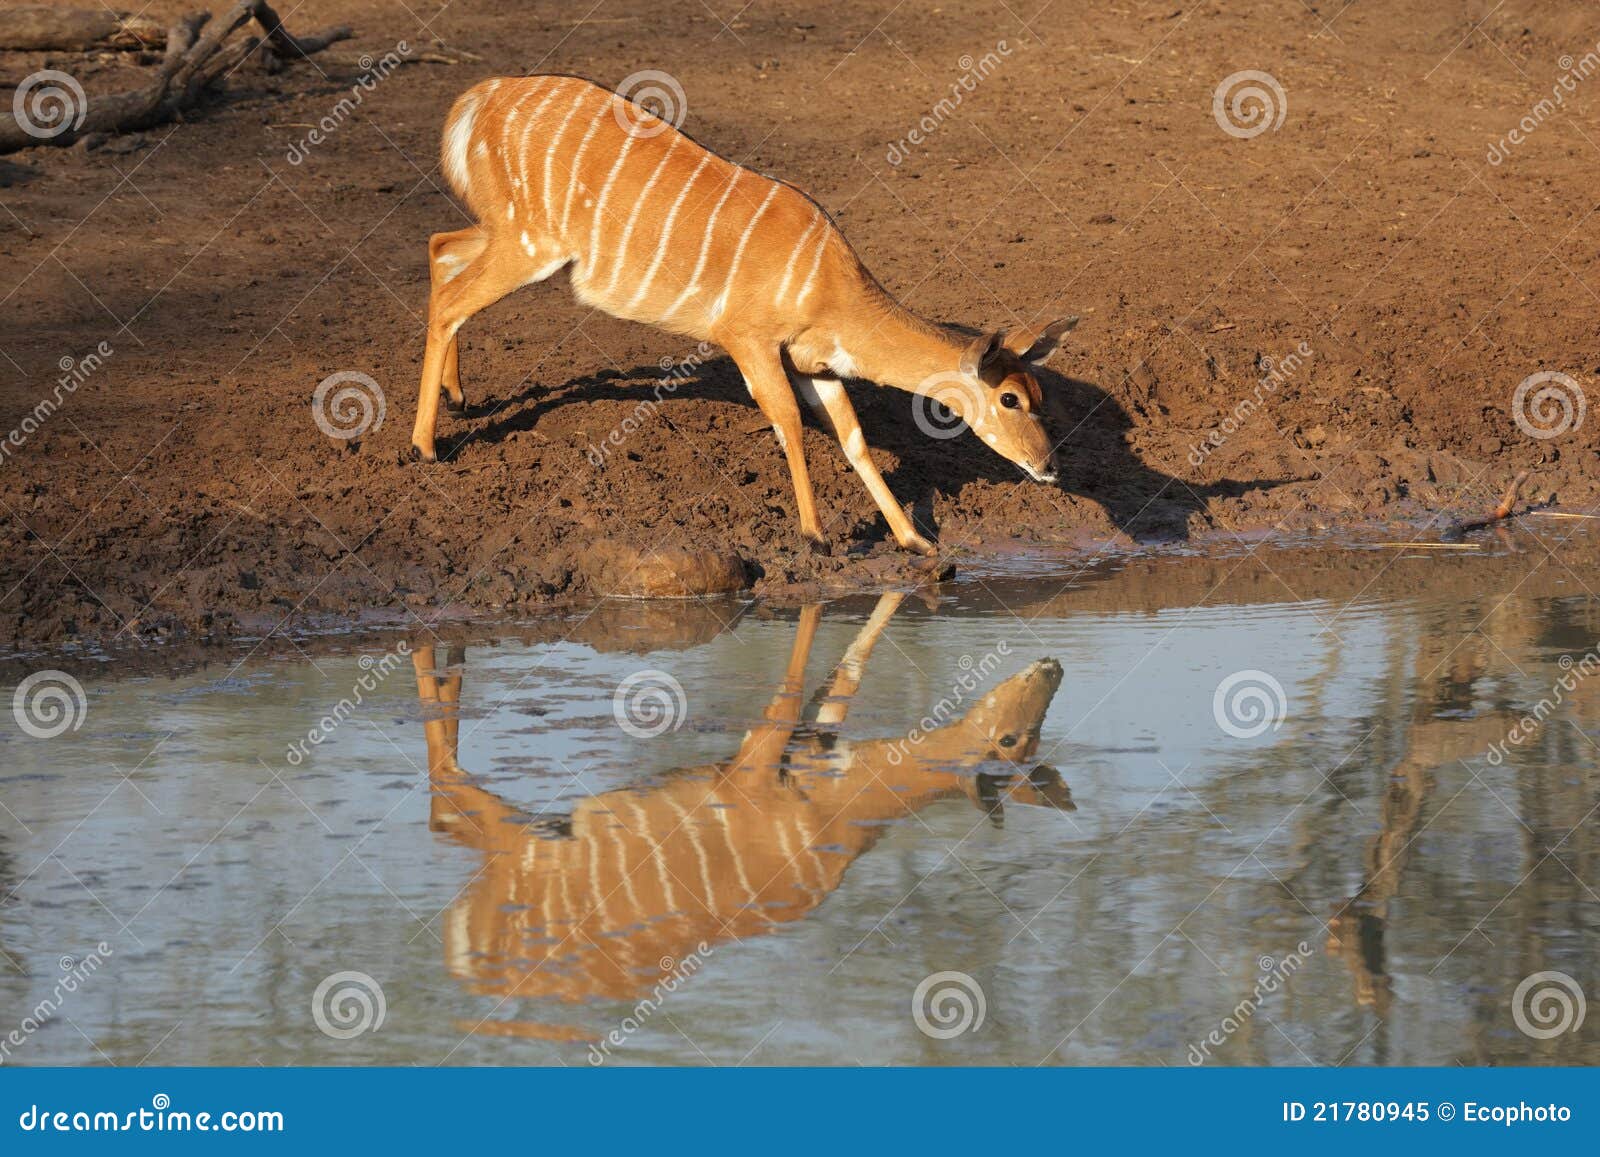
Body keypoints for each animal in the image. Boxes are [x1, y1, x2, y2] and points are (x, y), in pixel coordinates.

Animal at [412, 593, 1071, 1007]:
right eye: (1011, 738)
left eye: (1032, 738)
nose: (1054, 663)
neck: (838, 807)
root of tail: (467, 962)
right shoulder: (754, 766)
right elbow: (793, 684)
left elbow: (838, 676)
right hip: (526, 842)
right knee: (446, 794)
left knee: (447, 812)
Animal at [413, 74, 1080, 553]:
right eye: (1009, 399)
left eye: (1039, 394)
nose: (1048, 466)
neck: (826, 281)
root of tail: (480, 97)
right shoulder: (748, 340)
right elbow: (787, 420)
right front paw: (816, 537)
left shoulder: (816, 364)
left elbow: (854, 438)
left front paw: (916, 542)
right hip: (530, 243)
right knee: (449, 300)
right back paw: (424, 448)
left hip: (507, 235)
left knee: (441, 248)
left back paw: (459, 398)